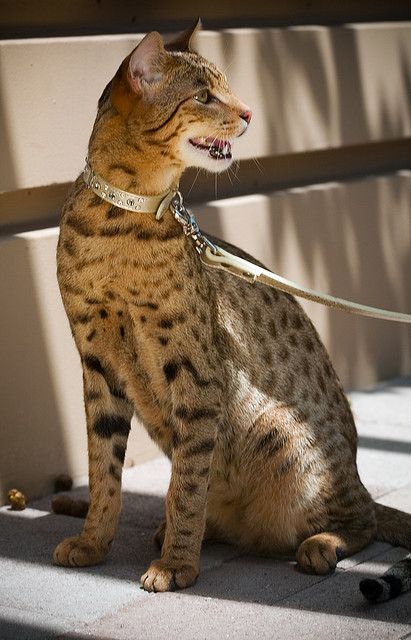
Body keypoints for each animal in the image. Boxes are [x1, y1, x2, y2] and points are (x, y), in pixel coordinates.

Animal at [54, 21, 411, 600]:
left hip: (282, 432)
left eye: (229, 89)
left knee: (365, 518)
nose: (249, 113)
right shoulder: (97, 363)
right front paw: (92, 542)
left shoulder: (195, 371)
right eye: (204, 95)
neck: (124, 219)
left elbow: (185, 484)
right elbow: (103, 468)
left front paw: (177, 566)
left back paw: (318, 545)